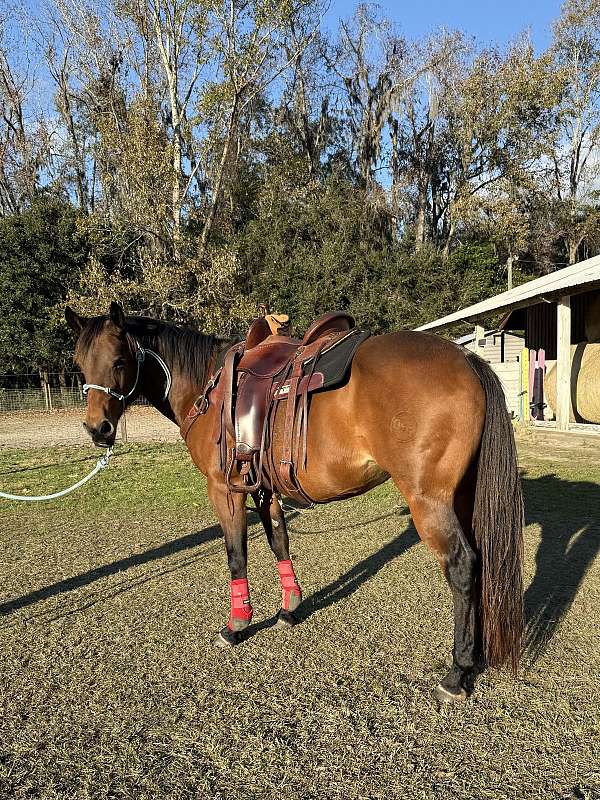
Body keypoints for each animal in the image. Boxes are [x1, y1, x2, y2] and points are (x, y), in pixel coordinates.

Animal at [65, 302, 524, 703]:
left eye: (119, 361)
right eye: (80, 364)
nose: (97, 429)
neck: (207, 386)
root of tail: (466, 358)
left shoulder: (224, 491)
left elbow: (236, 554)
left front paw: (237, 623)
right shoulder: (264, 489)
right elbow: (279, 542)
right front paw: (290, 607)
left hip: (429, 501)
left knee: (462, 567)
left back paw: (457, 671)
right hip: (462, 495)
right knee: (481, 559)